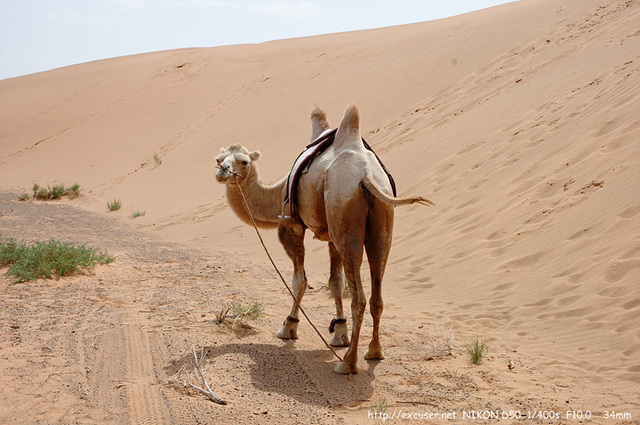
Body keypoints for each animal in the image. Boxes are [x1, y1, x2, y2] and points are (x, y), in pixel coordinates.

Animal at [214, 104, 430, 372]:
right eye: (219, 159)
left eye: (243, 161)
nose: (223, 171)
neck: (278, 191)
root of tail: (366, 175)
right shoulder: (330, 236)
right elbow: (334, 281)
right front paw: (339, 332)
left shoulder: (291, 227)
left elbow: (300, 280)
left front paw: (289, 327)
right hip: (380, 222)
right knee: (376, 294)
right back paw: (374, 352)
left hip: (345, 215)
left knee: (358, 298)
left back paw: (347, 363)